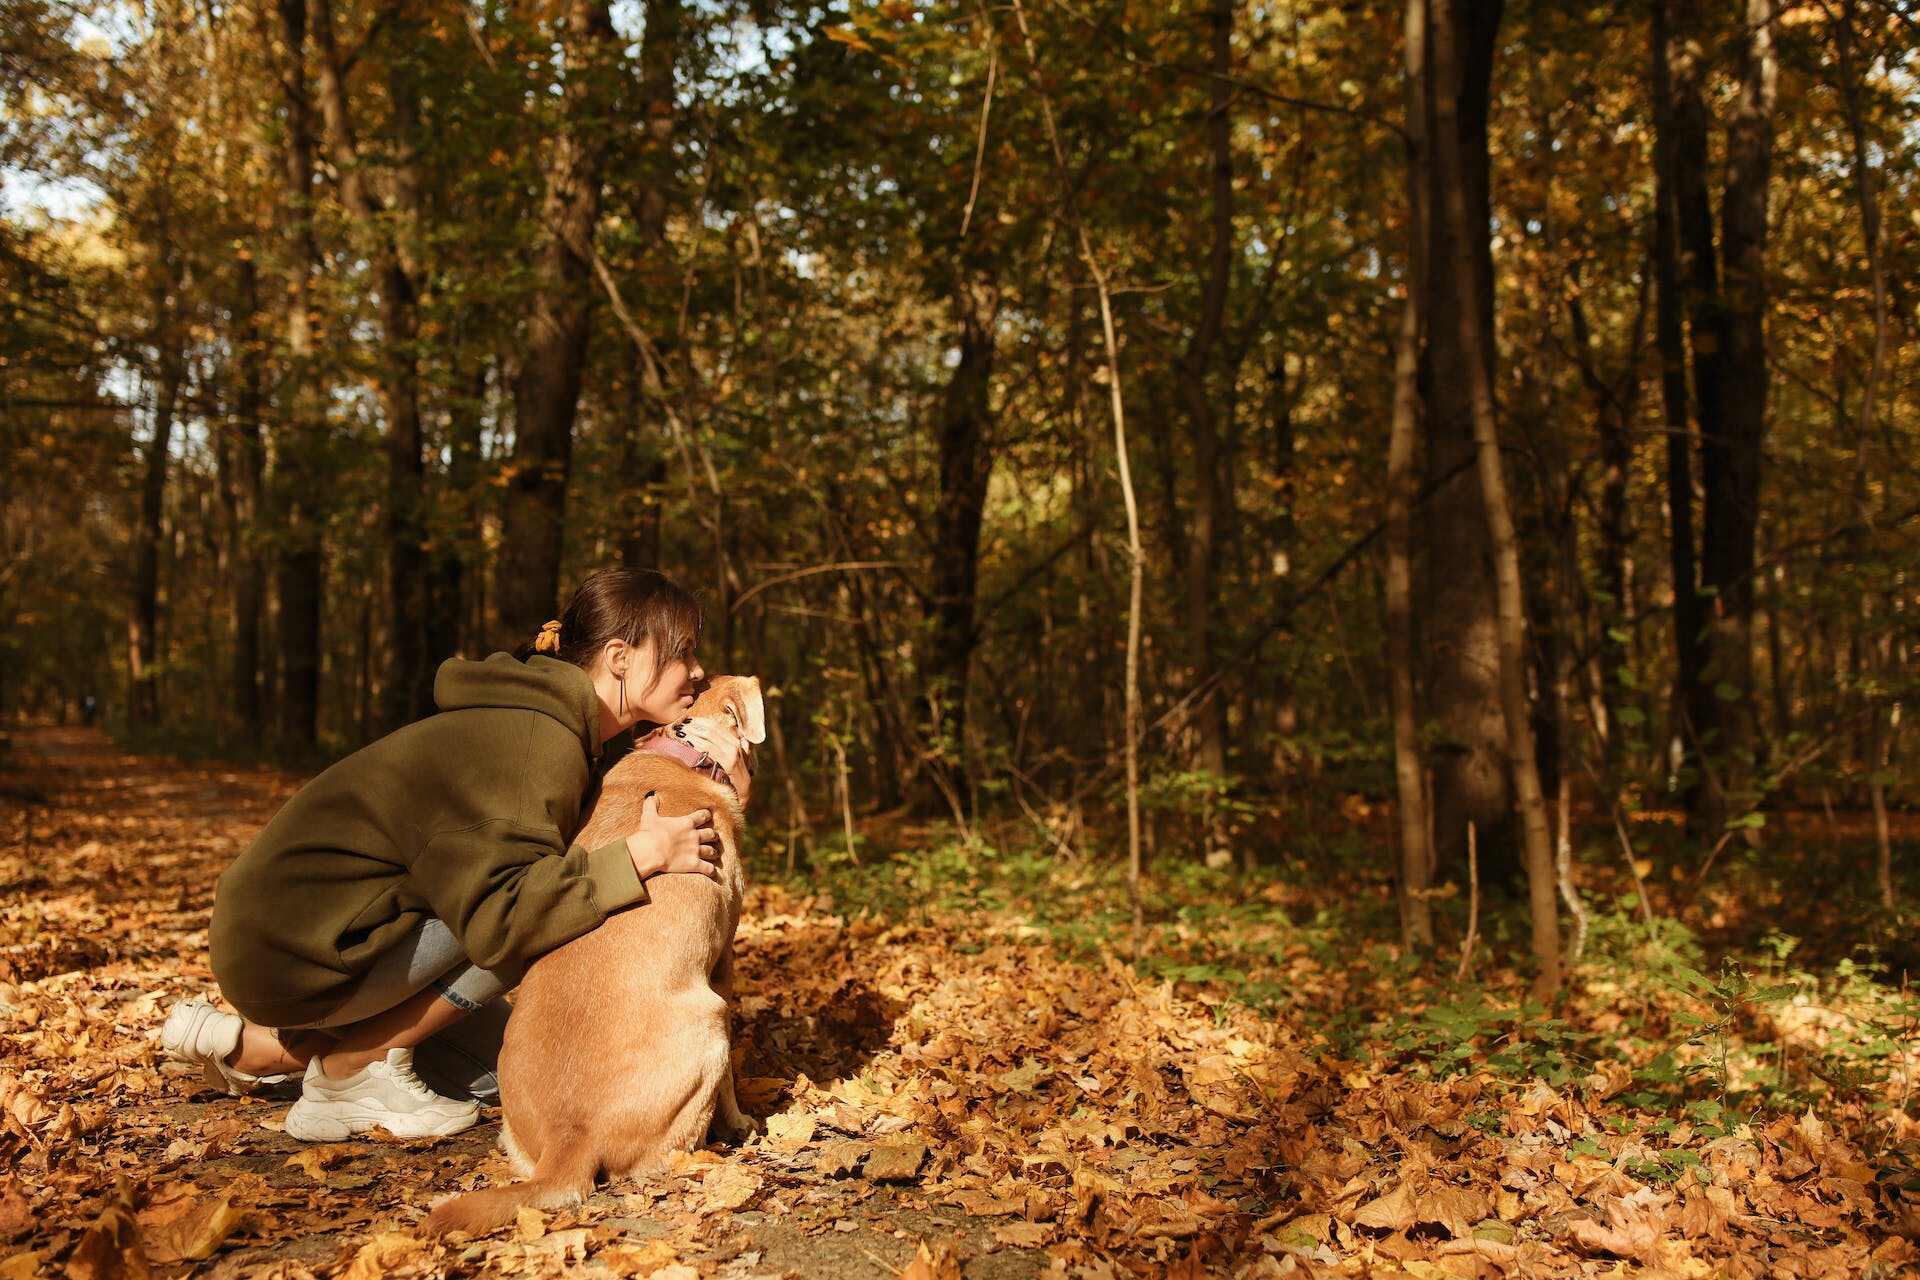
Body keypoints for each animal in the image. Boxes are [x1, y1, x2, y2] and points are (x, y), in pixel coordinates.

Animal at [428, 675, 764, 1235]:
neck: (687, 757)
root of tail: (571, 1141)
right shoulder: (723, 961)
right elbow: (733, 1084)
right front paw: (740, 1122)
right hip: (710, 1025)